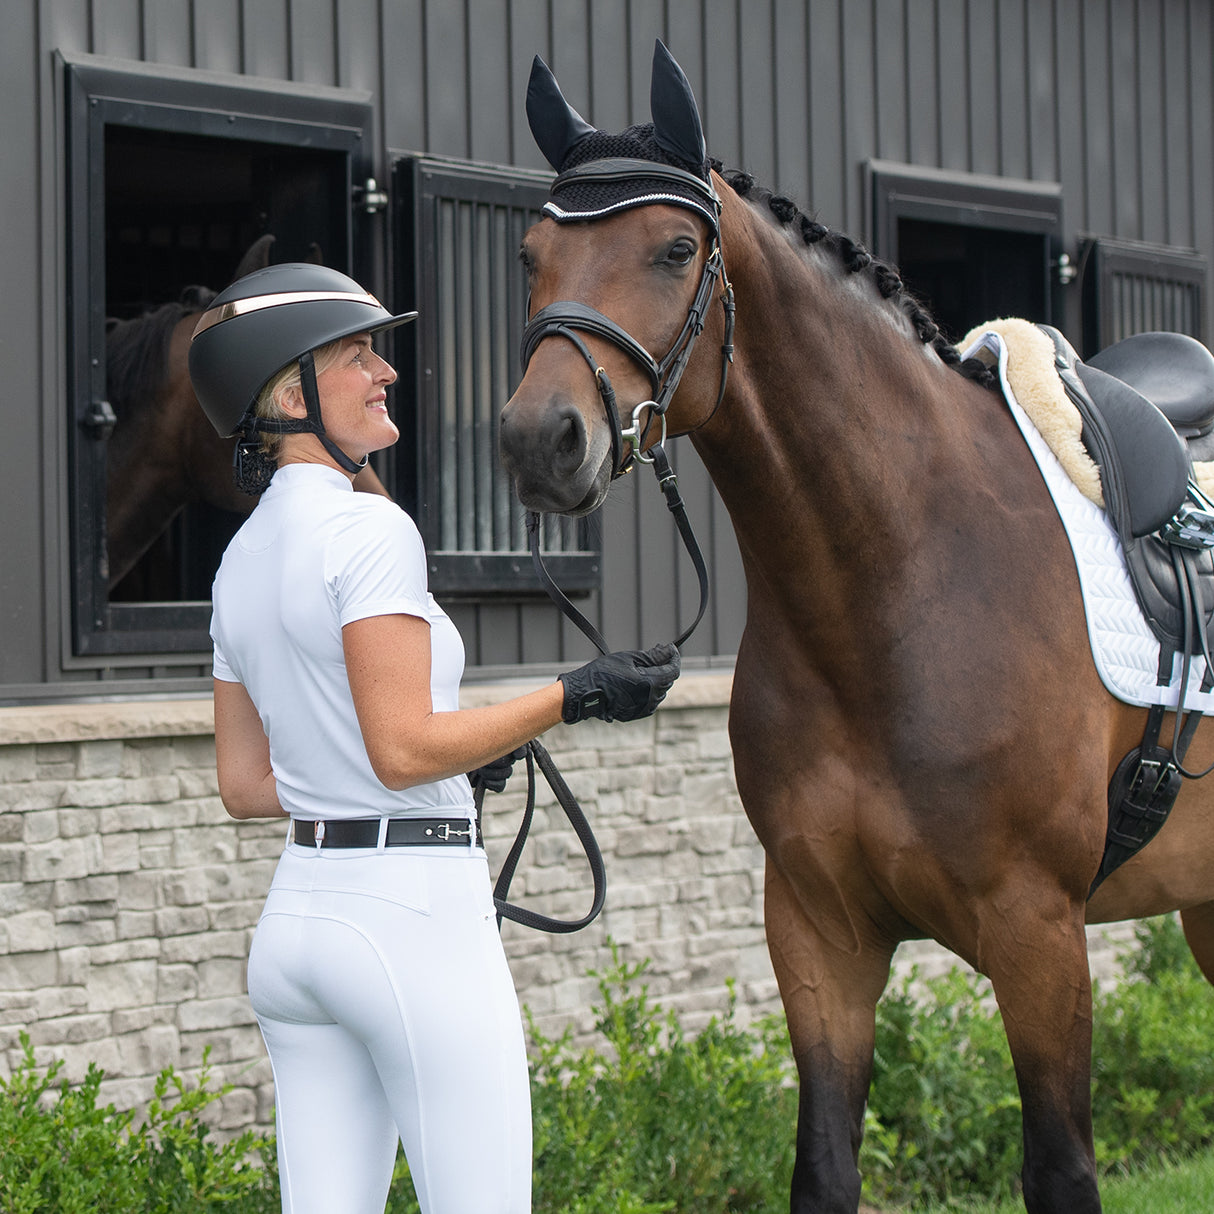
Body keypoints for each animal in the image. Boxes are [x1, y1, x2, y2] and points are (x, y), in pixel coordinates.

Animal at [497, 42, 1214, 1214]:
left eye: (675, 247)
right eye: (530, 252)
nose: (537, 439)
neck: (898, 587)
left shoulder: (1039, 935)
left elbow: (1059, 1170)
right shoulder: (818, 932)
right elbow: (824, 1168)